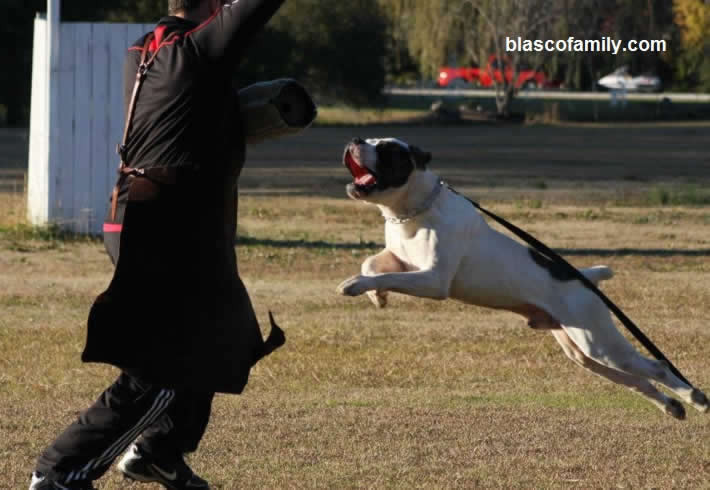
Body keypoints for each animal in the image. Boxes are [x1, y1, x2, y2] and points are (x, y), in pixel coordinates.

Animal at [336, 136, 708, 420]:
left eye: (386, 150)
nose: (355, 140)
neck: (413, 210)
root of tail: (586, 278)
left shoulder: (432, 280)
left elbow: (379, 274)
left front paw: (356, 286)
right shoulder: (400, 258)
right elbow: (372, 263)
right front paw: (377, 295)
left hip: (599, 343)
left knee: (655, 366)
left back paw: (695, 398)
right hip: (584, 352)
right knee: (635, 380)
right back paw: (672, 406)